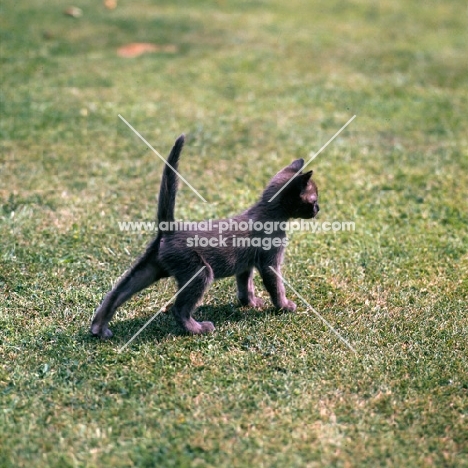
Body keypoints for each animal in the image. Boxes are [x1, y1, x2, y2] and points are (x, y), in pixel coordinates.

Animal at [90, 133, 320, 338]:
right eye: (314, 200)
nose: (319, 209)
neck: (269, 213)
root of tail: (170, 228)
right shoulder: (270, 263)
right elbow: (276, 286)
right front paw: (284, 306)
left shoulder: (245, 265)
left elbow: (246, 285)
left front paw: (251, 303)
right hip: (200, 271)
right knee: (178, 308)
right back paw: (198, 329)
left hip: (150, 269)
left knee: (117, 293)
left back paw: (98, 329)